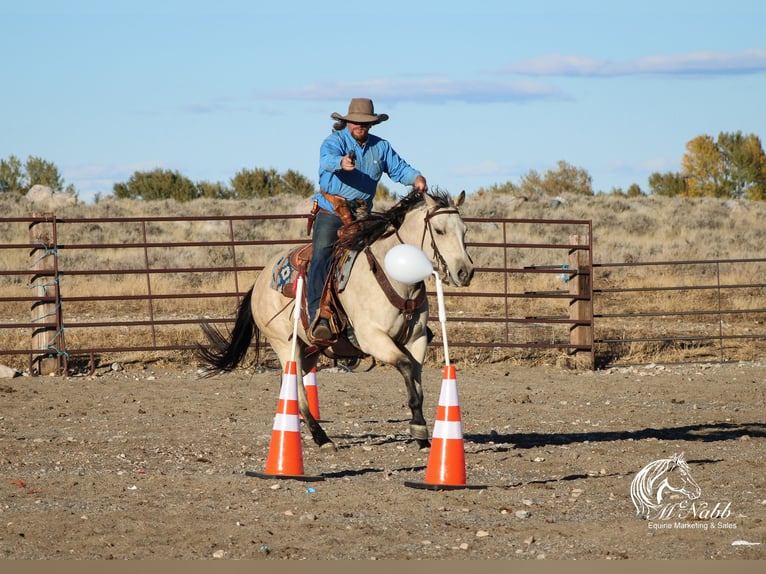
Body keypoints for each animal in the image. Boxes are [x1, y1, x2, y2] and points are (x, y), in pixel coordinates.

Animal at [198, 191, 474, 452]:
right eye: (439, 230)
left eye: (464, 230)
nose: (465, 272)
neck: (395, 277)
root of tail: (260, 280)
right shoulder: (372, 337)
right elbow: (405, 367)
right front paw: (418, 427)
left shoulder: (417, 339)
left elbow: (417, 383)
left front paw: (423, 436)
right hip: (284, 344)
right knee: (298, 387)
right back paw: (322, 438)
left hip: (307, 350)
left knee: (291, 383)